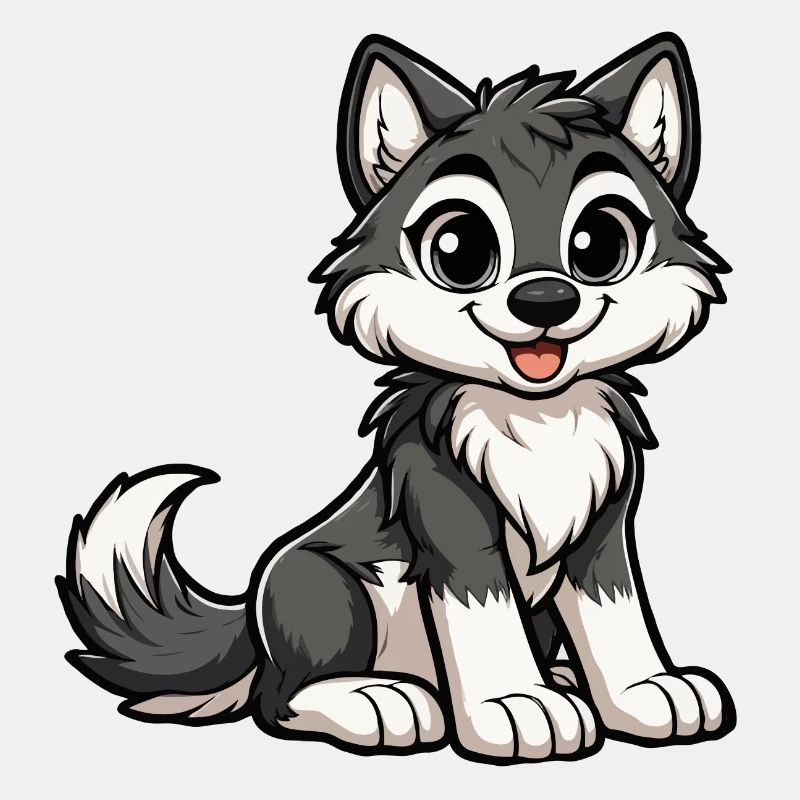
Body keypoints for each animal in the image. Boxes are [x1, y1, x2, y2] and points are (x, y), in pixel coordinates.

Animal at [57, 33, 736, 763]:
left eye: (600, 243)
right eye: (460, 249)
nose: (545, 300)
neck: (536, 418)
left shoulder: (601, 527)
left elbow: (616, 612)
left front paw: (643, 692)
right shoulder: (451, 521)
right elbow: (484, 613)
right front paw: (512, 706)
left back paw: (554, 677)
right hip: (321, 585)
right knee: (279, 698)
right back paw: (381, 701)